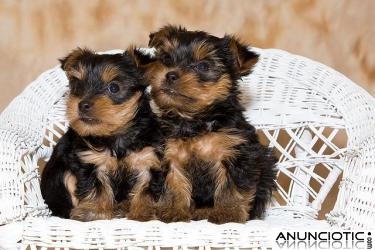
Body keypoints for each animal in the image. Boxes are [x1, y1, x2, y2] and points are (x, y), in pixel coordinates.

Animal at [40, 47, 164, 222]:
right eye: (77, 85)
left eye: (114, 87)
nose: (83, 104)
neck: (115, 136)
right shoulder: (90, 161)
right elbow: (95, 187)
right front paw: (93, 212)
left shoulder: (148, 158)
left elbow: (147, 188)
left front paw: (145, 212)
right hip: (60, 175)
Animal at [145, 25, 278, 224]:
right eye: (167, 59)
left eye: (203, 66)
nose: (170, 75)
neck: (194, 120)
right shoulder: (170, 155)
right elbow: (174, 183)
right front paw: (174, 210)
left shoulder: (236, 155)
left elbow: (232, 187)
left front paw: (228, 213)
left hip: (266, 166)